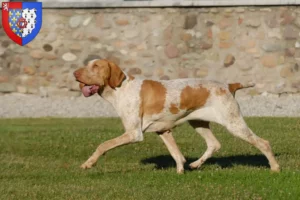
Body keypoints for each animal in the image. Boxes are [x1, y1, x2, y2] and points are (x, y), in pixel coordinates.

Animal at [74, 58, 280, 173]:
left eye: (96, 66)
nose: (75, 73)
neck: (121, 89)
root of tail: (229, 85)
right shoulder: (163, 131)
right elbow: (177, 155)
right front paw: (181, 171)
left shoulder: (133, 134)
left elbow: (103, 145)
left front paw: (88, 164)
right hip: (198, 123)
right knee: (214, 144)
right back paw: (196, 165)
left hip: (234, 124)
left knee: (263, 143)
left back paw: (275, 168)